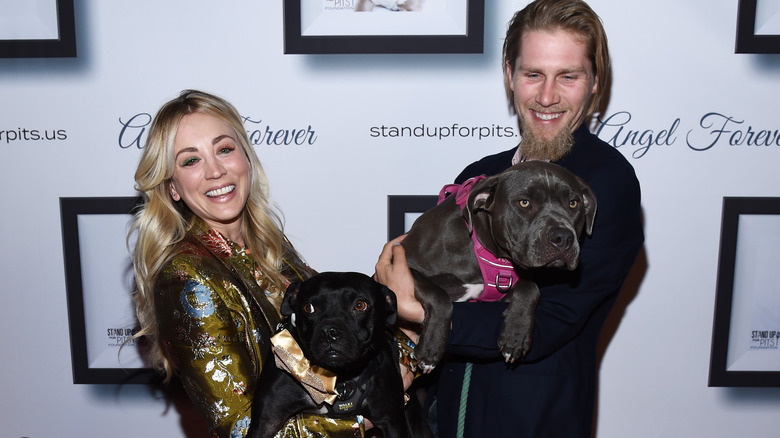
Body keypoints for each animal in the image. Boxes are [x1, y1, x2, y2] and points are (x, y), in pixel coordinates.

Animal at [247, 270, 432, 438]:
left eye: (360, 305)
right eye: (308, 308)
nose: (329, 332)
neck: (339, 376)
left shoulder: (391, 422)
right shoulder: (266, 422)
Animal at [402, 163, 596, 372]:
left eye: (573, 203)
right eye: (524, 203)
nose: (563, 237)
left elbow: (531, 289)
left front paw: (516, 334)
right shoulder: (403, 263)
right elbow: (439, 297)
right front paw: (431, 347)